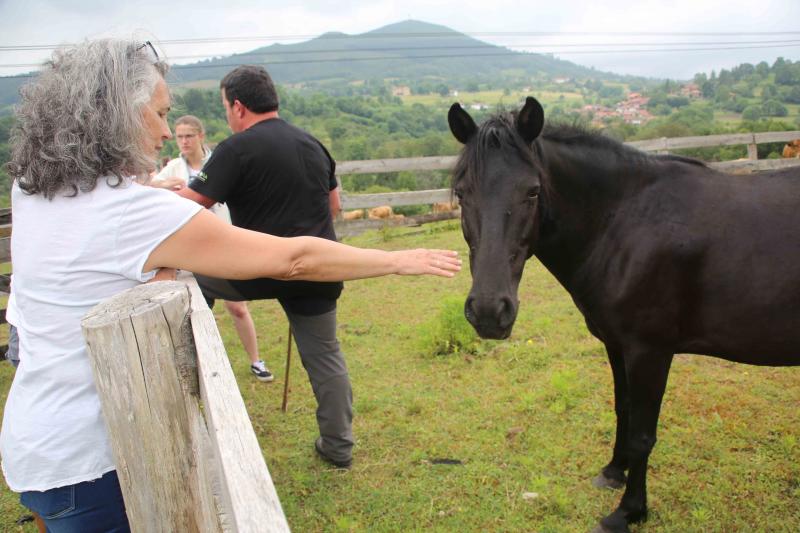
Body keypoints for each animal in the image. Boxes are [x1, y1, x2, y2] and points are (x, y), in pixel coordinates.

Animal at [450, 96, 800, 532]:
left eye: (532, 192)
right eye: (461, 193)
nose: (488, 311)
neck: (625, 222)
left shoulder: (650, 351)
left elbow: (642, 434)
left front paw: (629, 510)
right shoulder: (617, 345)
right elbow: (624, 409)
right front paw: (615, 472)